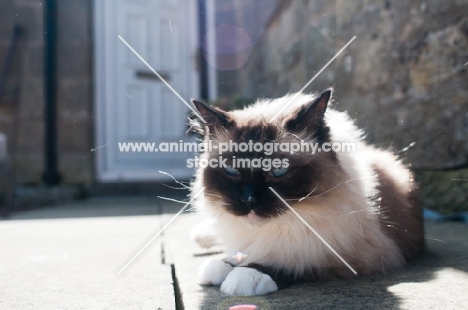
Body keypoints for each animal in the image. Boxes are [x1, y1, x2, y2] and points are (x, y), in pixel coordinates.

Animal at [186, 89, 424, 296]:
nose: (249, 200)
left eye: (279, 170)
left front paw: (245, 275)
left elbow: (292, 261)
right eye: (231, 170)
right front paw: (222, 265)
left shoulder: (350, 253)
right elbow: (237, 253)